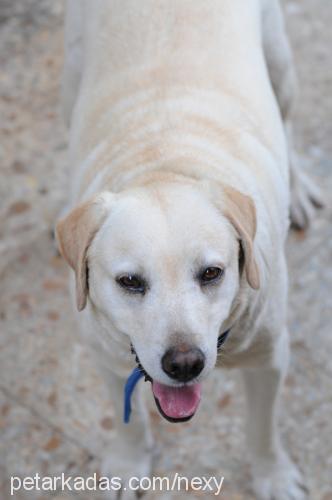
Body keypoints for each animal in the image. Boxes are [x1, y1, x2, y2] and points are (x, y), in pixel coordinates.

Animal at [56, 1, 322, 498]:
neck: (164, 162)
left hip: (280, 65)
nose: (184, 364)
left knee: (289, 120)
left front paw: (272, 477)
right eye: (130, 282)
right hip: (71, 78)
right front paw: (128, 465)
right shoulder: (105, 356)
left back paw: (297, 188)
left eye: (212, 273)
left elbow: (262, 431)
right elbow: (128, 422)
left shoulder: (269, 361)